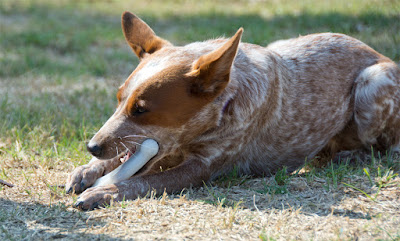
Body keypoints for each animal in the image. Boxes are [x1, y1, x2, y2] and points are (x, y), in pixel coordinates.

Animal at [65, 11, 400, 211]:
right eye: (119, 99)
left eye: (141, 110)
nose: (91, 146)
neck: (227, 100)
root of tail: (376, 52)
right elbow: (119, 159)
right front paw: (86, 170)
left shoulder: (202, 167)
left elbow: (144, 181)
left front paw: (105, 191)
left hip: (373, 82)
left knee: (383, 148)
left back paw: (346, 155)